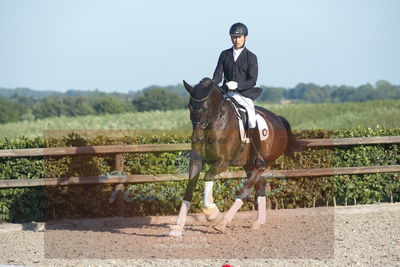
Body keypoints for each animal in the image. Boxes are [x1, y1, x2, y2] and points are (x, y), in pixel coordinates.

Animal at [168, 77, 304, 237]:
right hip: (249, 165)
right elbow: (189, 188)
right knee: (260, 186)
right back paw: (258, 222)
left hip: (262, 164)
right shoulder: (196, 161)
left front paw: (211, 213)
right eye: (189, 107)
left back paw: (222, 223)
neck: (216, 121)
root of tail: (277, 118)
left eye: (205, 108)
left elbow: (208, 176)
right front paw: (178, 227)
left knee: (244, 191)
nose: (197, 138)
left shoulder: (223, 161)